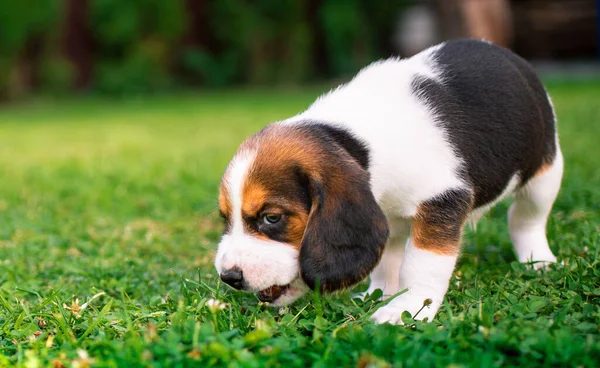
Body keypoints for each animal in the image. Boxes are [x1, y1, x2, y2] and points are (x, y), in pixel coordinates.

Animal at [214, 38, 564, 324]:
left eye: (272, 218)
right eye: (225, 218)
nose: (228, 277)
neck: (355, 142)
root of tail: (503, 52)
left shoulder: (442, 201)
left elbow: (421, 263)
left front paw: (408, 309)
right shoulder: (384, 214)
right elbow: (387, 260)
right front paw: (379, 294)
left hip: (545, 173)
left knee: (525, 218)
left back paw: (538, 261)